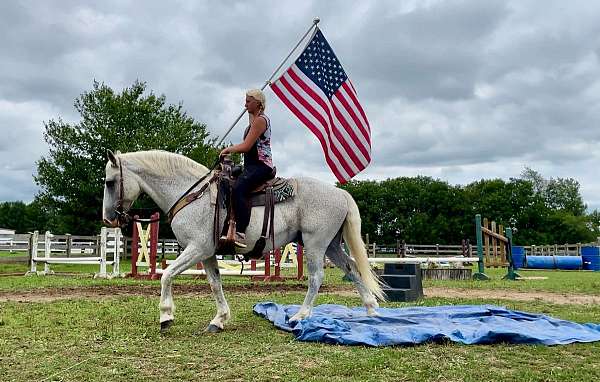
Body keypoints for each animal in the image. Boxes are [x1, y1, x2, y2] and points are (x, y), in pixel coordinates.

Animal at [102, 149, 384, 332]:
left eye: (110, 182)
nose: (108, 219)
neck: (192, 194)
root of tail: (340, 193)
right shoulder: (207, 253)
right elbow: (215, 284)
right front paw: (219, 319)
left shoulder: (196, 248)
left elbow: (166, 274)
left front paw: (165, 316)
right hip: (331, 245)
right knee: (352, 267)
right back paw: (371, 309)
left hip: (316, 244)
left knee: (316, 277)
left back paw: (300, 316)